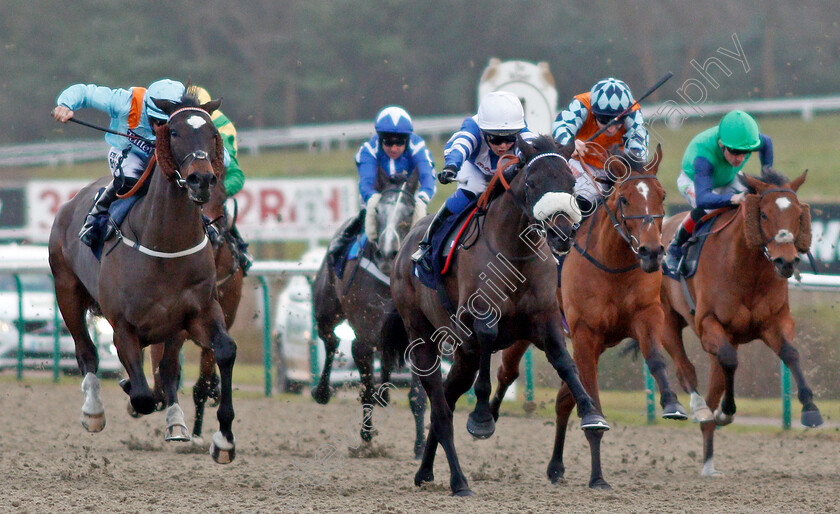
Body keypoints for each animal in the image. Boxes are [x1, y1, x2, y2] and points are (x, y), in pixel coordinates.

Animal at [48, 91, 238, 460]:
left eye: (212, 133)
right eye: (174, 132)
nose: (202, 179)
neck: (165, 244)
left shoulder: (199, 312)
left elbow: (223, 351)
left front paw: (222, 438)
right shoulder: (123, 327)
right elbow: (142, 395)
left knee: (167, 370)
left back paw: (176, 422)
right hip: (66, 290)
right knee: (86, 352)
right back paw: (93, 411)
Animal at [390, 134, 608, 494]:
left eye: (571, 181)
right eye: (532, 183)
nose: (562, 233)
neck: (516, 255)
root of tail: (404, 247)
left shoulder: (545, 320)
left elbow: (566, 363)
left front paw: (591, 412)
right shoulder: (476, 317)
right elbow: (488, 341)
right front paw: (481, 418)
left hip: (462, 357)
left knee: (446, 401)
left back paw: (425, 472)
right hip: (422, 339)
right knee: (441, 411)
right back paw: (459, 480)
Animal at [488, 144, 684, 488]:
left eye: (661, 196)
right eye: (624, 198)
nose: (651, 252)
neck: (614, 264)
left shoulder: (645, 316)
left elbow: (656, 359)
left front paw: (672, 402)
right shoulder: (585, 334)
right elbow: (592, 403)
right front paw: (598, 477)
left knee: (563, 399)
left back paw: (555, 466)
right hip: (528, 330)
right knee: (507, 373)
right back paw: (487, 415)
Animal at [660, 169, 824, 476]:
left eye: (798, 215)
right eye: (764, 214)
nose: (786, 261)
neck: (748, 268)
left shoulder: (775, 321)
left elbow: (791, 354)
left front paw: (811, 410)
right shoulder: (708, 324)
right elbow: (729, 359)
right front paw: (726, 411)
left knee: (714, 382)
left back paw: (709, 463)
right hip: (666, 321)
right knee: (685, 369)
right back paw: (701, 409)